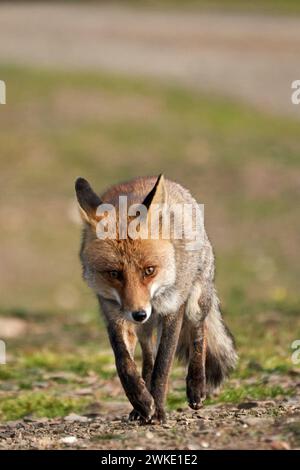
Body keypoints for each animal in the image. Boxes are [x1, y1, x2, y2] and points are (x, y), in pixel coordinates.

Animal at [75, 174, 237, 424]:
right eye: (114, 274)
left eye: (149, 270)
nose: (139, 313)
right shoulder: (114, 315)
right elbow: (125, 363)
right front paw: (142, 401)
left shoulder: (172, 310)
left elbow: (163, 365)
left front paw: (158, 410)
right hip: (145, 327)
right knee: (148, 355)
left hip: (196, 303)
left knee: (198, 334)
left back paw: (196, 386)